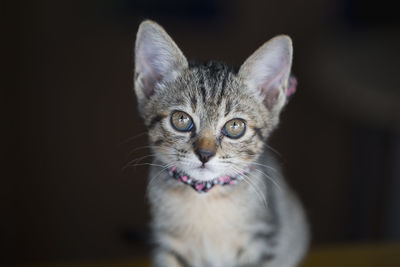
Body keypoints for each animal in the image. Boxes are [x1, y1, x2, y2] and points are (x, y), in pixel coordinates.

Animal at [134, 19, 310, 266]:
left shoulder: (261, 240)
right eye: (181, 120)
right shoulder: (168, 245)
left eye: (235, 126)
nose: (205, 154)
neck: (206, 197)